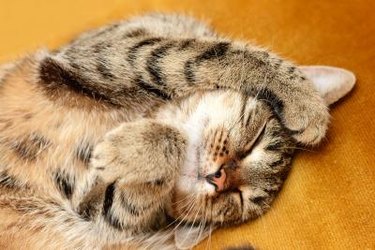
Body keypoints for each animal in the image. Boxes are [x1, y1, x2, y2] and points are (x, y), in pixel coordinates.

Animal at [0, 13, 356, 250]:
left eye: (236, 202)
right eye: (255, 139)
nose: (221, 179)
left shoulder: (102, 213)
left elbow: (128, 200)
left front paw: (130, 150)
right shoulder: (99, 54)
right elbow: (194, 54)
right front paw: (303, 99)